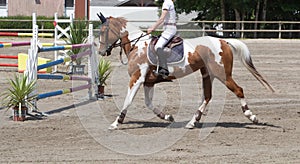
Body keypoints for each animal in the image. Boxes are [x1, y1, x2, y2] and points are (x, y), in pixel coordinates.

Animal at [96, 13, 274, 131]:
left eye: (103, 31)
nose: (100, 51)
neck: (137, 45)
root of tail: (223, 41)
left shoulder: (137, 79)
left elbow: (127, 101)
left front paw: (116, 123)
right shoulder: (148, 82)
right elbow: (148, 103)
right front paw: (167, 117)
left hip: (223, 75)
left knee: (238, 90)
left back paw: (252, 116)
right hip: (208, 74)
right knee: (207, 96)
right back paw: (192, 122)